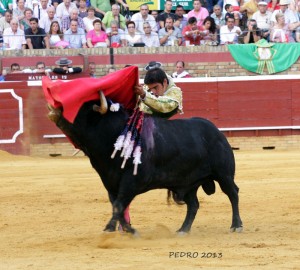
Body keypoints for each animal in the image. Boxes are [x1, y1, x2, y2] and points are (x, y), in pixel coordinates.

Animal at [47, 90, 244, 234]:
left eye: (82, 109)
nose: (56, 108)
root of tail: (217, 132)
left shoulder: (132, 181)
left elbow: (119, 205)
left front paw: (117, 228)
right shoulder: (110, 181)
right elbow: (117, 205)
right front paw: (124, 228)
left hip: (224, 174)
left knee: (232, 193)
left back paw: (236, 225)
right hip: (188, 182)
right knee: (194, 204)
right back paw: (183, 229)